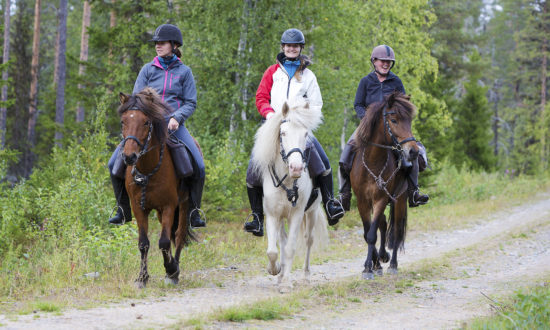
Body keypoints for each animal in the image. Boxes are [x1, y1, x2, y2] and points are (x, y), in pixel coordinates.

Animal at [118, 87, 196, 288]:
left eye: (146, 122)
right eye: (123, 121)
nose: (129, 156)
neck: (147, 171)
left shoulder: (169, 205)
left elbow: (164, 241)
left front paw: (171, 269)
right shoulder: (139, 207)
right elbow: (143, 243)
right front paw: (142, 278)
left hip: (184, 205)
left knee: (179, 234)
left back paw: (174, 271)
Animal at [252, 99, 330, 292]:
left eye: (306, 133)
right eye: (283, 133)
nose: (296, 168)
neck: (287, 181)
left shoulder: (296, 214)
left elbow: (290, 248)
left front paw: (286, 283)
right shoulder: (273, 215)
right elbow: (273, 250)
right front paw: (275, 271)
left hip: (312, 212)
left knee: (308, 240)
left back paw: (305, 277)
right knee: (282, 240)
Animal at [354, 91, 422, 280]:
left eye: (409, 121)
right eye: (394, 120)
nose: (413, 151)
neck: (373, 162)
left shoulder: (381, 199)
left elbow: (371, 234)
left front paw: (369, 268)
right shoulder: (362, 201)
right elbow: (367, 233)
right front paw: (372, 265)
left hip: (400, 200)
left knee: (397, 232)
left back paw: (392, 264)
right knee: (384, 224)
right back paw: (382, 259)